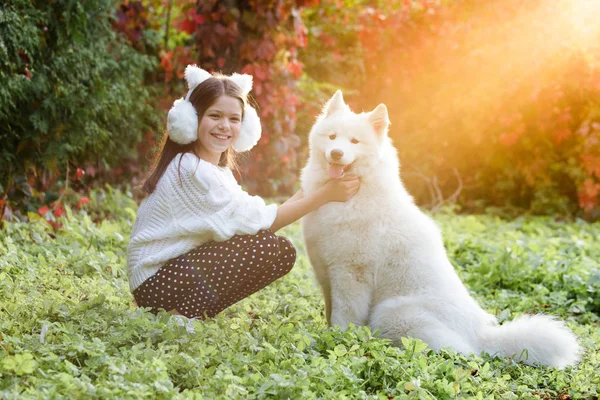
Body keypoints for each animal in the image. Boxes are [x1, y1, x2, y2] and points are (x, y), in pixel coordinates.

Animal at [300, 90, 580, 368]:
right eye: (332, 137)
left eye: (355, 141)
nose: (337, 153)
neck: (354, 193)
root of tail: (480, 335)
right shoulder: (325, 272)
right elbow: (330, 309)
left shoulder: (351, 274)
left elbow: (343, 316)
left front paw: (336, 341)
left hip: (391, 312)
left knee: (458, 353)